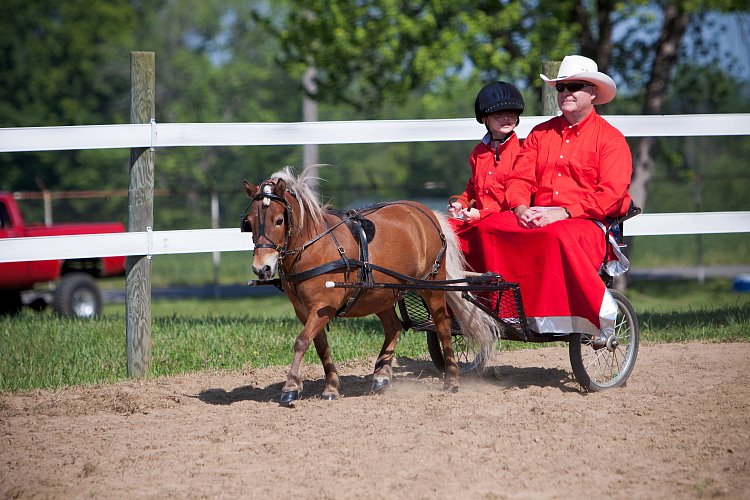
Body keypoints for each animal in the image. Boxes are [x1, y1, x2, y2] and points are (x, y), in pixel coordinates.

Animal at [242, 166, 500, 404]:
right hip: (379, 293)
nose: (262, 268)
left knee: (443, 326)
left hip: (432, 284)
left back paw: (452, 380)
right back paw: (381, 376)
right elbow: (320, 345)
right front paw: (331, 387)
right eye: (250, 223)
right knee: (394, 327)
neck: (313, 247)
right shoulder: (305, 311)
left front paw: (290, 387)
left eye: (279, 220)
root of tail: (426, 212)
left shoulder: (323, 306)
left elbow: (301, 341)